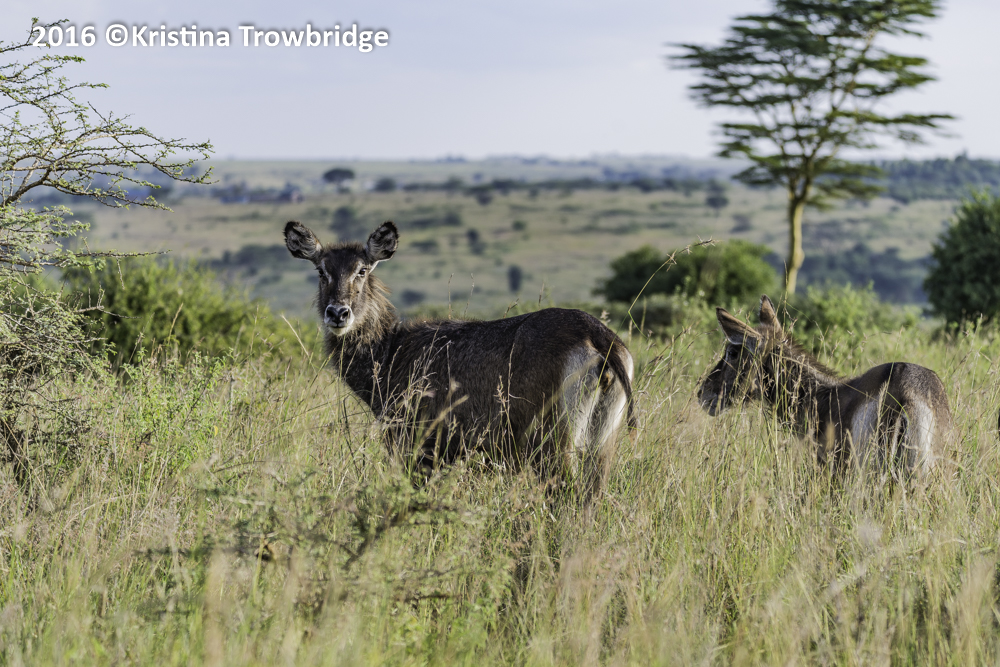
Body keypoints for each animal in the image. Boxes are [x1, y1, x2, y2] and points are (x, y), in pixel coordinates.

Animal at [284, 220, 634, 499]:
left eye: (362, 270)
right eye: (321, 271)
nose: (338, 313)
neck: (392, 351)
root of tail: (596, 334)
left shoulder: (416, 447)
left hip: (552, 442)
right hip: (602, 444)